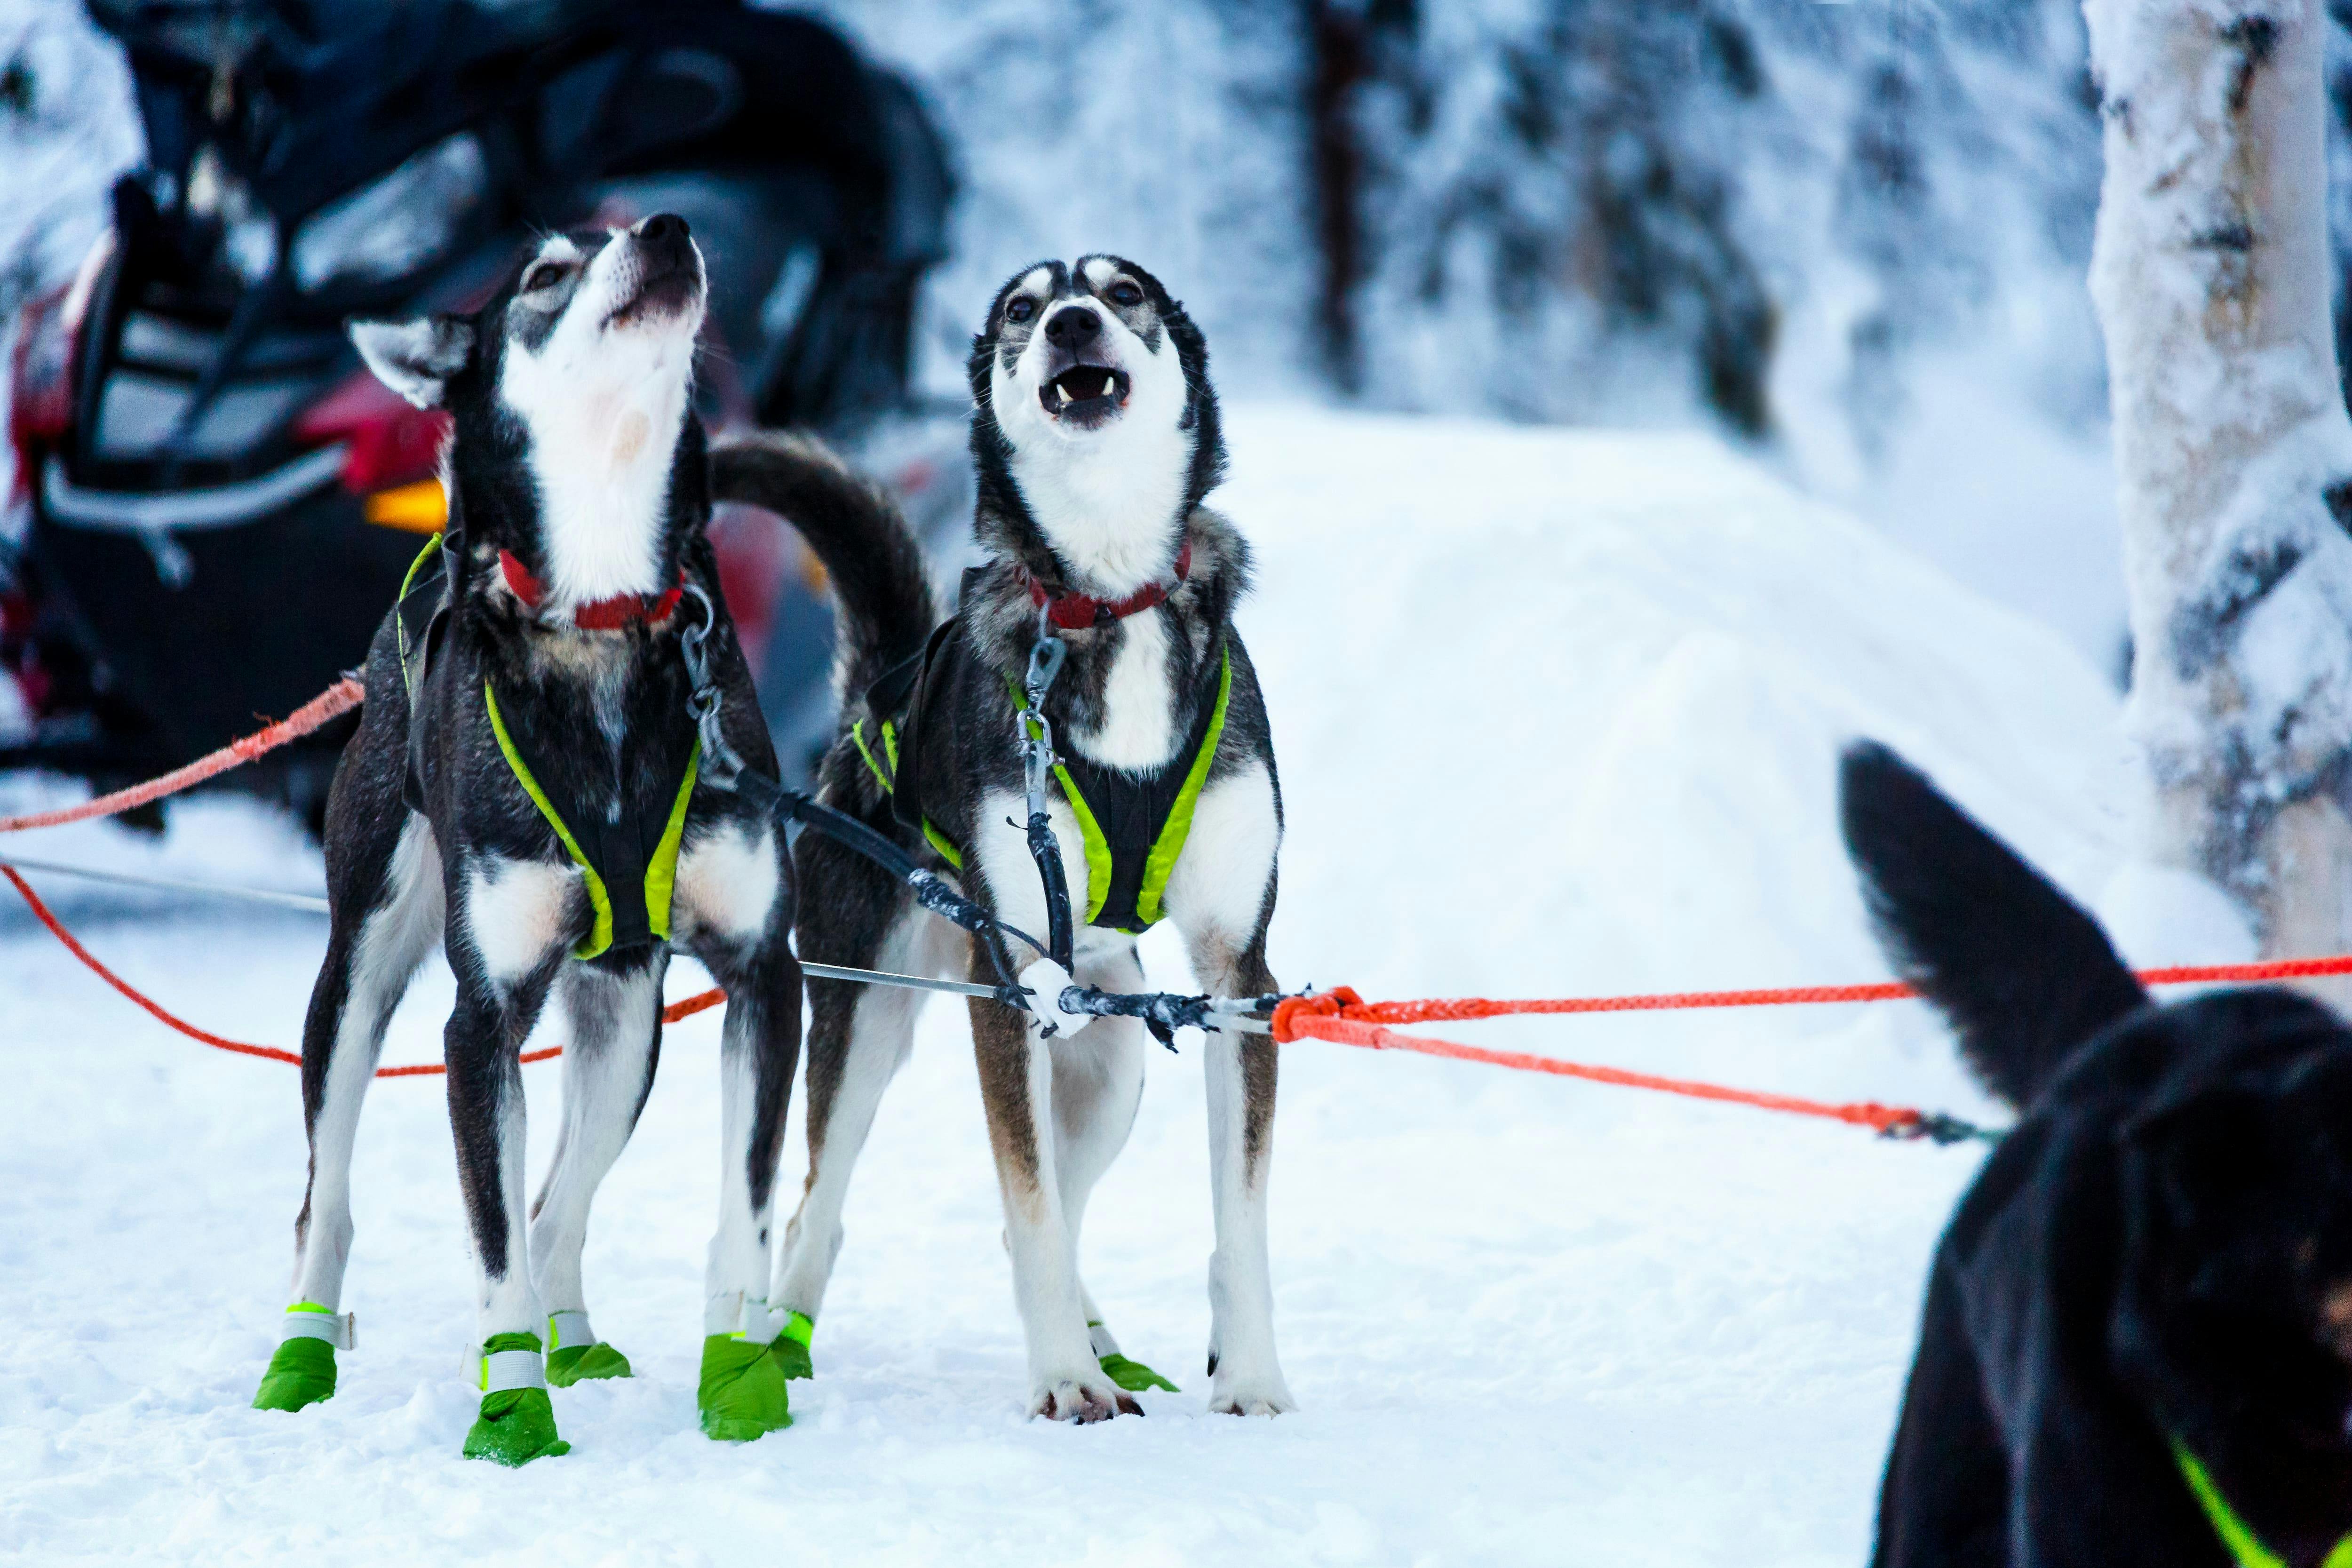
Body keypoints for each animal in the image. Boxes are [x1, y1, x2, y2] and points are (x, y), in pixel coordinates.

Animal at [250, 215, 809, 1467]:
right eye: (549, 271)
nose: (668, 229)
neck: (605, 616)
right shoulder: (481, 1017)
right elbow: (490, 1245)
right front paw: (512, 1411)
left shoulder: (764, 976)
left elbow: (742, 1213)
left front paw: (738, 1373)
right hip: (356, 979)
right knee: (328, 1195)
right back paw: (300, 1352)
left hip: (630, 1024)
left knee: (562, 1201)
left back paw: (575, 1334)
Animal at [715, 255, 1308, 1420]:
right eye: (1023, 310)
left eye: (1124, 293)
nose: (1072, 323)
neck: (1108, 598)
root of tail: (872, 703)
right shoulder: (1010, 982)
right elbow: (1025, 1205)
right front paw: (1065, 1384)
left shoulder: (1233, 976)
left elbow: (1240, 1218)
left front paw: (1251, 1374)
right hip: (869, 1017)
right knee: (820, 1206)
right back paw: (779, 1347)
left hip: (1110, 1051)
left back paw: (1105, 1341)